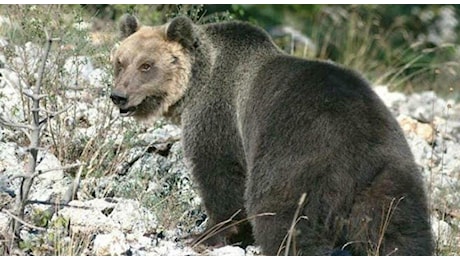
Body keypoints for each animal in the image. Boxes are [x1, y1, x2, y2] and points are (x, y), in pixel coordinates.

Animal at [109, 14, 434, 256]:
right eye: (120, 62)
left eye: (147, 65)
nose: (118, 96)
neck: (195, 84)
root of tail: (356, 157)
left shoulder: (219, 116)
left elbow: (220, 175)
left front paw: (202, 235)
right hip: (390, 179)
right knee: (400, 233)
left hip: (296, 162)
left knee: (283, 218)